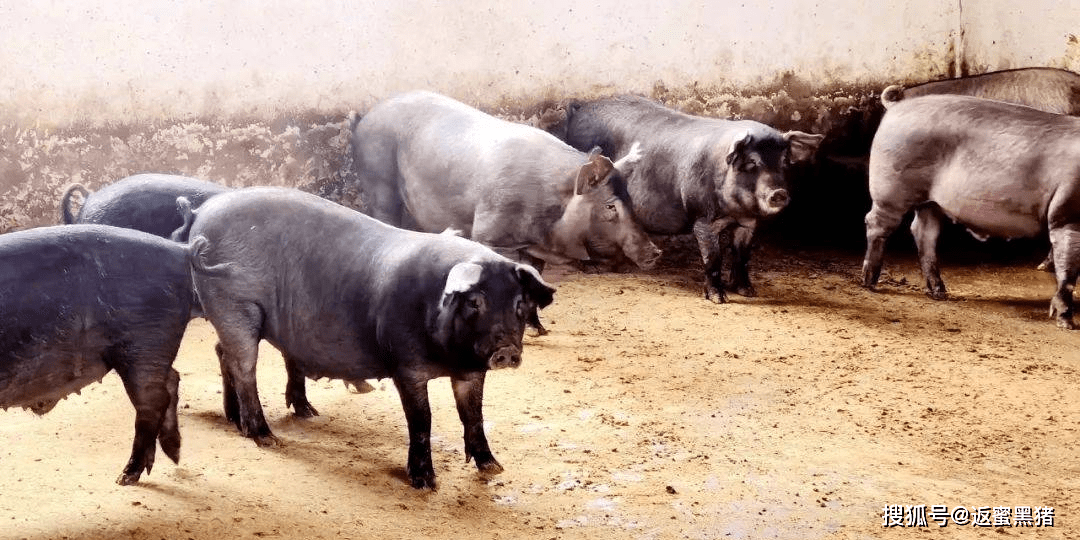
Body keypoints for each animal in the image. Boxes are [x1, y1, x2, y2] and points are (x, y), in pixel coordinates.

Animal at [186, 187, 552, 492]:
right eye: (475, 302)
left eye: (520, 304)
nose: (506, 351)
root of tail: (203, 212)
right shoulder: (405, 365)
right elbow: (422, 420)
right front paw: (425, 483)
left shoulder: (471, 372)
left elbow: (474, 416)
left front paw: (494, 468)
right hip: (234, 304)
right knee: (243, 366)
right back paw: (266, 437)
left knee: (223, 353)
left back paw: (279, 416)